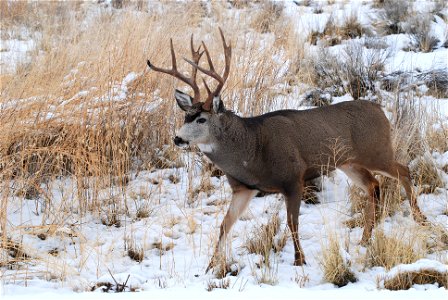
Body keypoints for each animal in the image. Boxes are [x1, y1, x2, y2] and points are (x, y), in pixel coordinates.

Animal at [147, 29, 428, 270]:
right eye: (185, 116)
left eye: (202, 120)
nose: (177, 139)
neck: (252, 151)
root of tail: (381, 110)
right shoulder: (244, 188)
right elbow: (225, 225)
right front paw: (209, 266)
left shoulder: (294, 178)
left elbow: (292, 222)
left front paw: (299, 260)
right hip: (349, 163)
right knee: (373, 185)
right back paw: (366, 238)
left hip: (377, 151)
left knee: (403, 170)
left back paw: (420, 220)